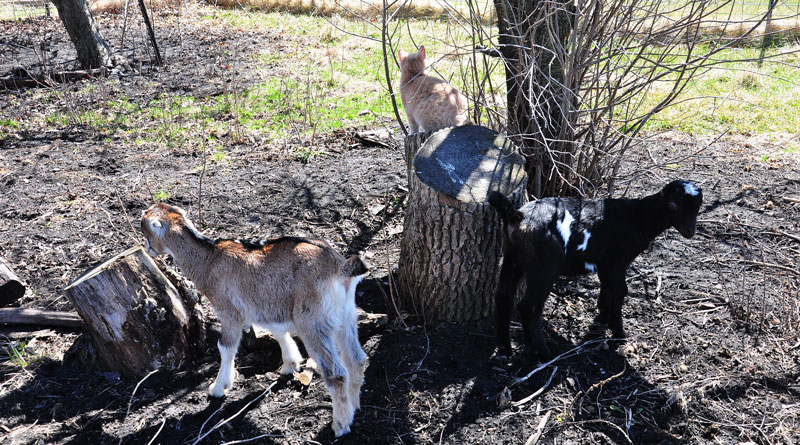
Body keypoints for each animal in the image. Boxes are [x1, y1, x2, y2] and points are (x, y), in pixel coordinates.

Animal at [141, 203, 368, 436]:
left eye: (145, 230)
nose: (148, 249)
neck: (209, 259)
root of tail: (339, 268)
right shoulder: (266, 304)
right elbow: (278, 331)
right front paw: (290, 364)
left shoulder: (227, 310)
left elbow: (225, 346)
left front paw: (218, 388)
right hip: (346, 315)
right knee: (357, 359)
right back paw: (354, 406)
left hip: (313, 322)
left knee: (337, 373)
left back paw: (340, 425)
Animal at [488, 180, 703, 358]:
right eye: (673, 205)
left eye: (698, 208)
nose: (690, 231)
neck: (638, 217)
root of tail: (518, 215)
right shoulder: (616, 261)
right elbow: (620, 290)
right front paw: (619, 334)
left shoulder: (605, 263)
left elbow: (607, 288)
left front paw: (603, 314)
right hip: (544, 268)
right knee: (529, 306)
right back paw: (542, 352)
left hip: (511, 258)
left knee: (503, 298)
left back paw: (505, 350)